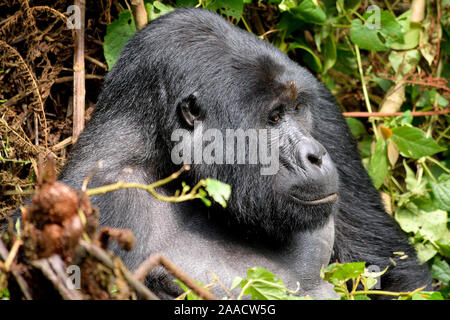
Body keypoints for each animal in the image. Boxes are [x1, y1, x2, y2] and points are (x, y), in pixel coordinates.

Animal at [13, 6, 432, 298]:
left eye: (297, 109)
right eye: (273, 118)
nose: (315, 155)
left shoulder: (320, 102)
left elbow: (392, 271)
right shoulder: (99, 198)